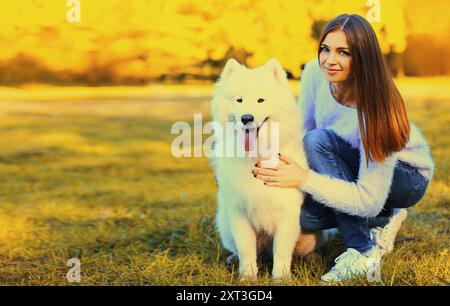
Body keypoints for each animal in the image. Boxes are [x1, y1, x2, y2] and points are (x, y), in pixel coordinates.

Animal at [210, 58, 320, 280]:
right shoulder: (239, 213)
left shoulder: (287, 215)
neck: (257, 156)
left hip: (308, 236)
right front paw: (247, 276)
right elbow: (246, 248)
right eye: (239, 100)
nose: (246, 118)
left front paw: (281, 277)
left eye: (261, 100)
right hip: (225, 225)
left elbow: (282, 250)